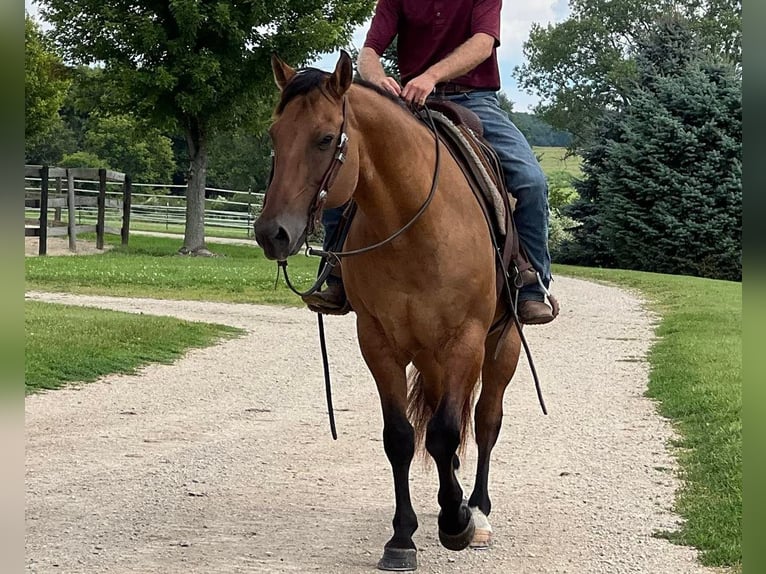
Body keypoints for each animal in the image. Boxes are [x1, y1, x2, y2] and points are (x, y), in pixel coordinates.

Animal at [255, 51, 524, 572]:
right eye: (275, 135)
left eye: (324, 138)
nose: (272, 233)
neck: (412, 224)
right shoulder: (378, 342)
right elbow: (401, 437)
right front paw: (403, 537)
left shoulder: (464, 339)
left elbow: (447, 431)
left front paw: (456, 523)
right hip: (430, 357)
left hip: (501, 346)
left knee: (485, 420)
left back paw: (477, 511)